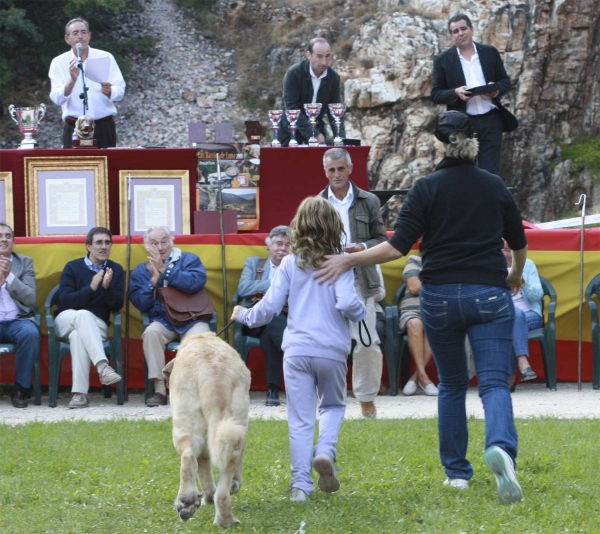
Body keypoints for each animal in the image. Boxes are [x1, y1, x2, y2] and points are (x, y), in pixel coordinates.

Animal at [162, 332, 251, 528]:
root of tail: (212, 373)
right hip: (234, 426)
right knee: (225, 475)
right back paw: (225, 519)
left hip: (186, 425)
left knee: (188, 457)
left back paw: (188, 502)